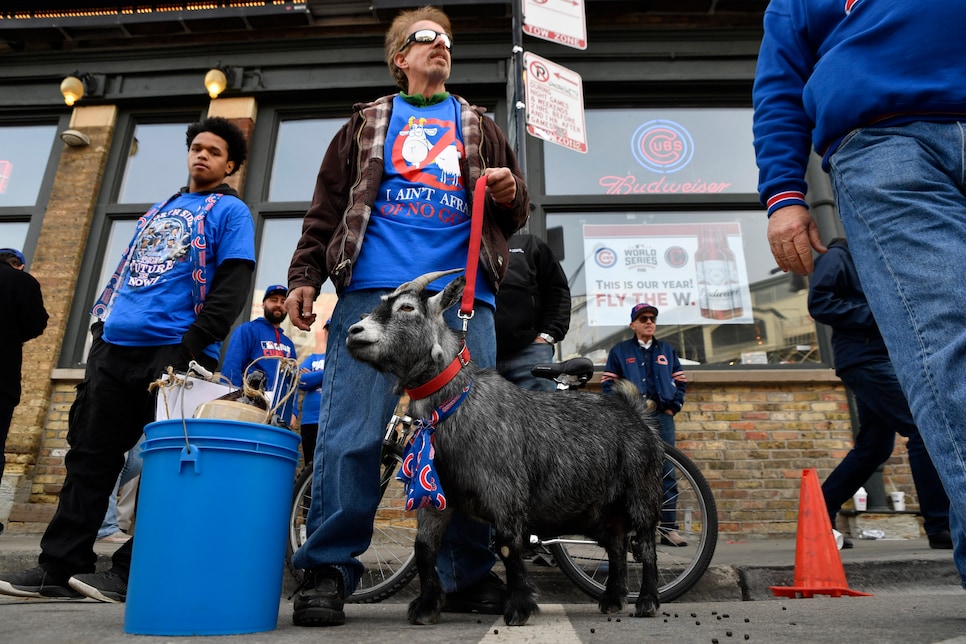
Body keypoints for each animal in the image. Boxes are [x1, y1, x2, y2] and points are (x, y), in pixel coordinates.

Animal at [346, 270, 664, 624]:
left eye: (406, 308)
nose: (353, 333)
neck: (458, 403)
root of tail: (636, 413)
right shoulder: (438, 496)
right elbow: (424, 547)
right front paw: (426, 607)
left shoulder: (506, 493)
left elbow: (508, 546)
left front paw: (518, 607)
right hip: (597, 508)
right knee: (616, 544)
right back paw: (612, 599)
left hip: (641, 491)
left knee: (645, 545)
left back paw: (647, 601)